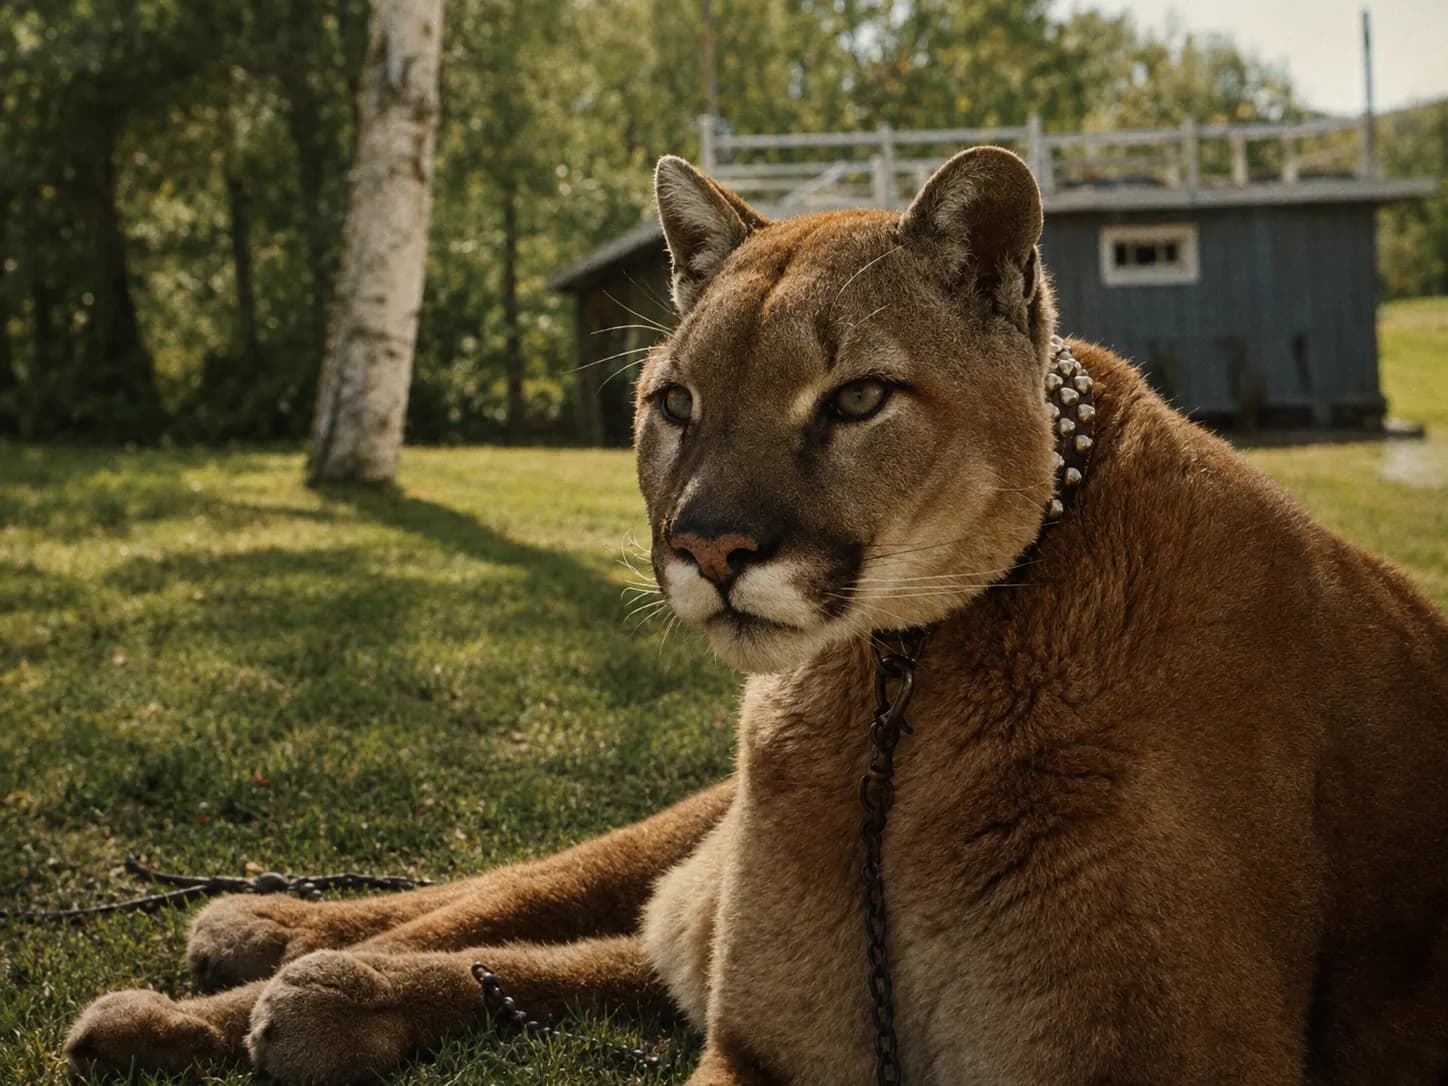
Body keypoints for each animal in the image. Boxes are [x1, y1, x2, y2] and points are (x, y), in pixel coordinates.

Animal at [67, 147, 1448, 1085]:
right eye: (673, 403)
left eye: (856, 399)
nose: (706, 545)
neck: (897, 687)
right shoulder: (767, 1047)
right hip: (697, 828)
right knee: (510, 896)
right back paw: (244, 955)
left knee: (599, 947)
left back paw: (308, 999)